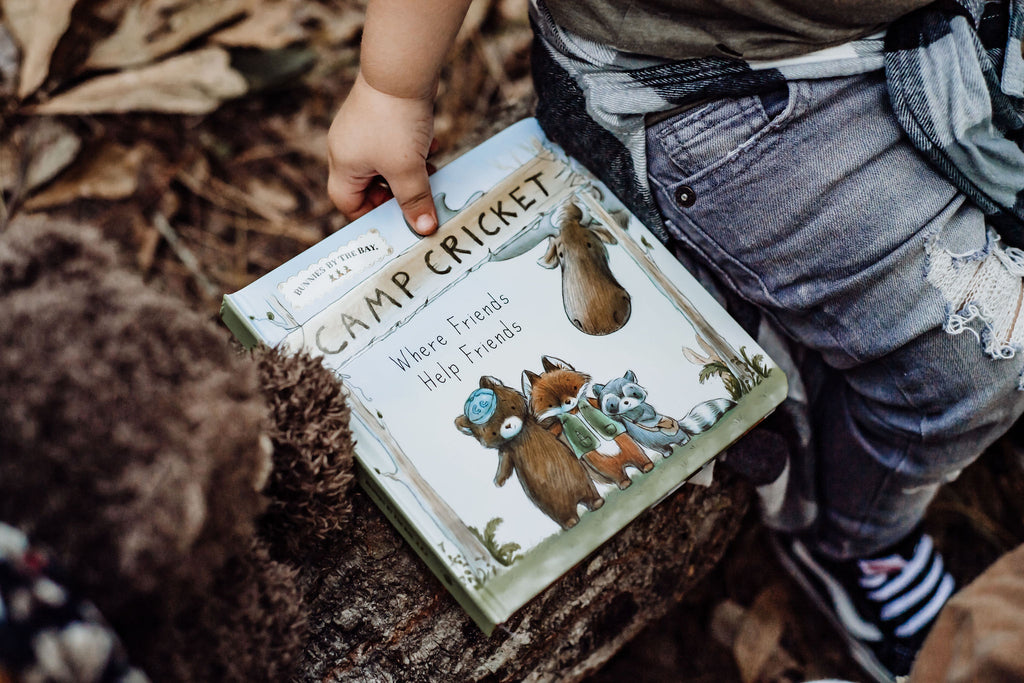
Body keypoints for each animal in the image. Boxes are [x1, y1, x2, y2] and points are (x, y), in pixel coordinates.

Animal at [524, 356, 651, 489]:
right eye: (552, 403)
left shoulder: (592, 403)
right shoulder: (559, 425)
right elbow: (553, 430)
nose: (568, 402)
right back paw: (624, 483)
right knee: (618, 475)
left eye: (572, 388)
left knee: (639, 456)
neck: (574, 411)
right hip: (604, 464)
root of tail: (623, 461)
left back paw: (647, 466)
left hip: (628, 446)